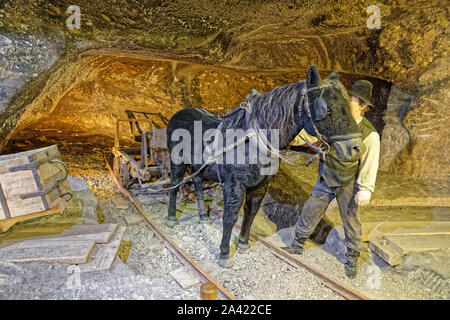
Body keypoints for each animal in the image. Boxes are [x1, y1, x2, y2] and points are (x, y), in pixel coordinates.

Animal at [163, 65, 364, 268]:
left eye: (348, 106)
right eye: (326, 110)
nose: (356, 148)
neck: (253, 141)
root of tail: (178, 114)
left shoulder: (260, 185)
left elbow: (251, 213)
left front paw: (243, 244)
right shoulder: (234, 185)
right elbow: (230, 217)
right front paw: (225, 254)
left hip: (198, 166)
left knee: (196, 181)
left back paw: (203, 215)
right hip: (176, 162)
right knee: (174, 185)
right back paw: (171, 217)